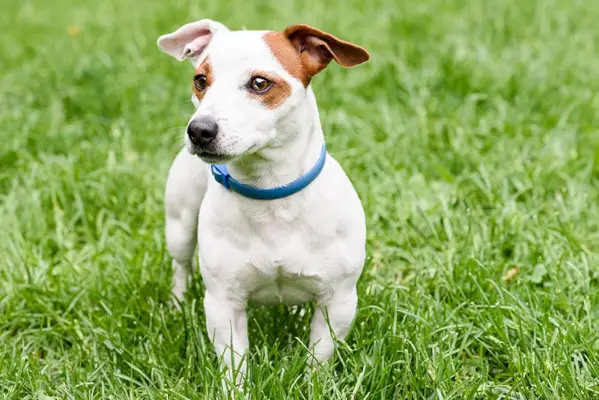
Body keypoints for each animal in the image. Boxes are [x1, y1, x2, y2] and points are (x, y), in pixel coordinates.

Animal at [157, 19, 368, 384]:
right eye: (201, 80)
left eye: (259, 83)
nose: (199, 130)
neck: (269, 193)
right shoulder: (223, 304)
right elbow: (234, 363)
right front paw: (236, 388)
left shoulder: (338, 302)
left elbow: (318, 359)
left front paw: (313, 385)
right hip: (179, 225)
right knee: (181, 266)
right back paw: (177, 304)